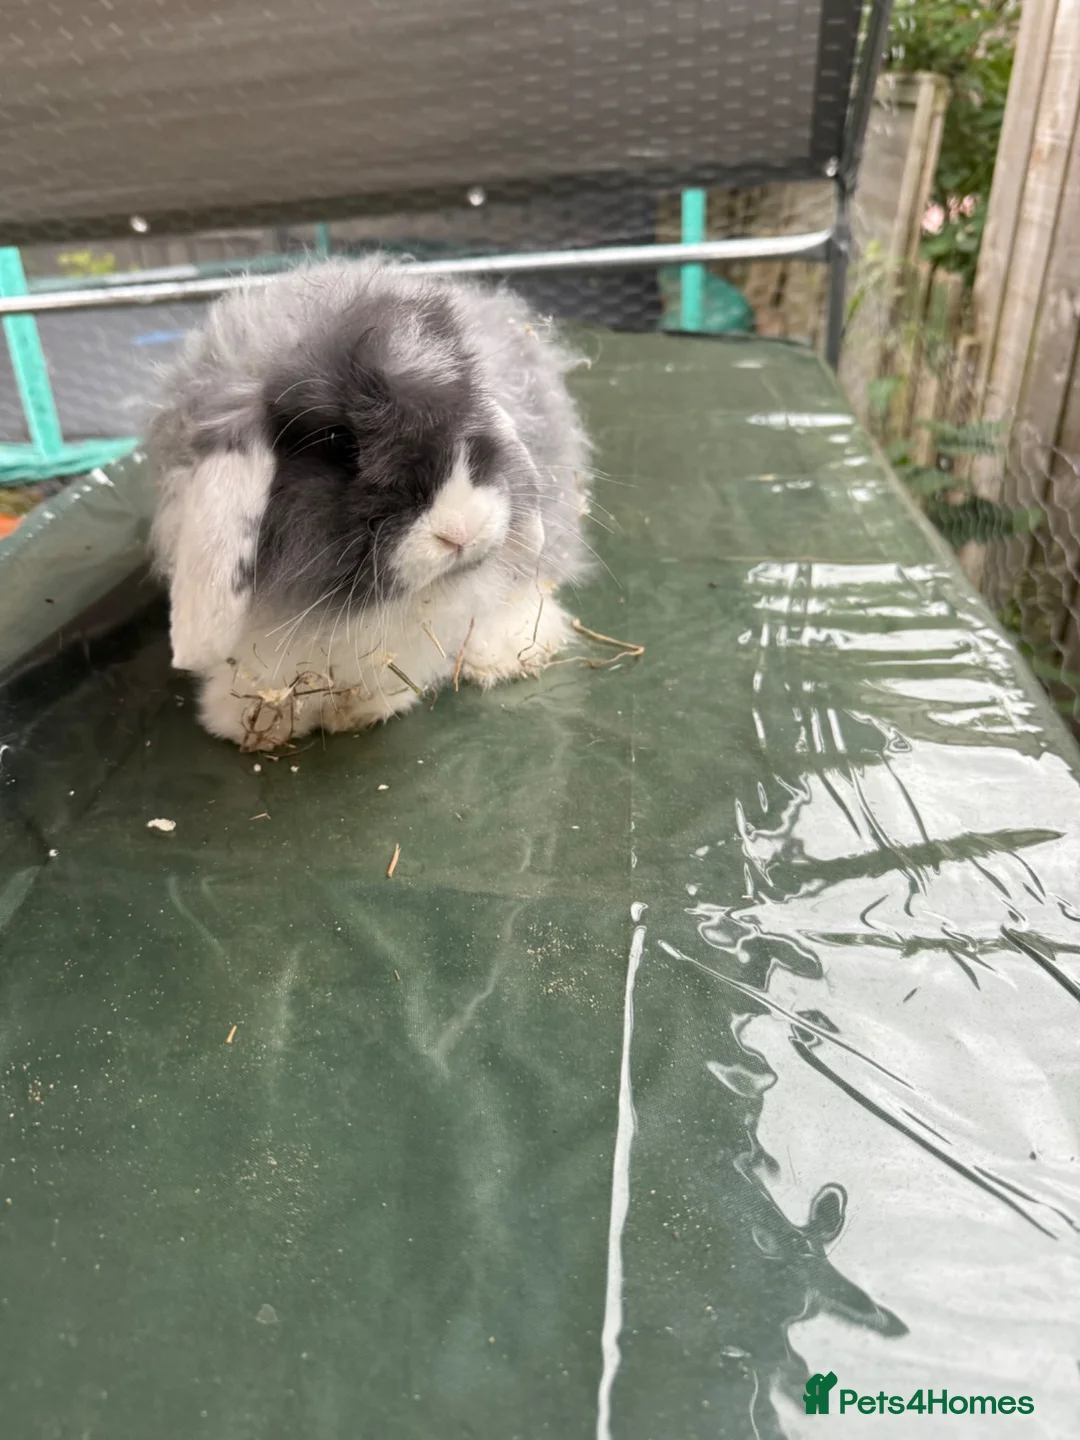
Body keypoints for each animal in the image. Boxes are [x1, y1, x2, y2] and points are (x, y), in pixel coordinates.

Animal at [147, 257, 593, 751]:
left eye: (470, 419)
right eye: (339, 441)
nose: (461, 530)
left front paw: (362, 711)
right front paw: (252, 723)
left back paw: (508, 654)